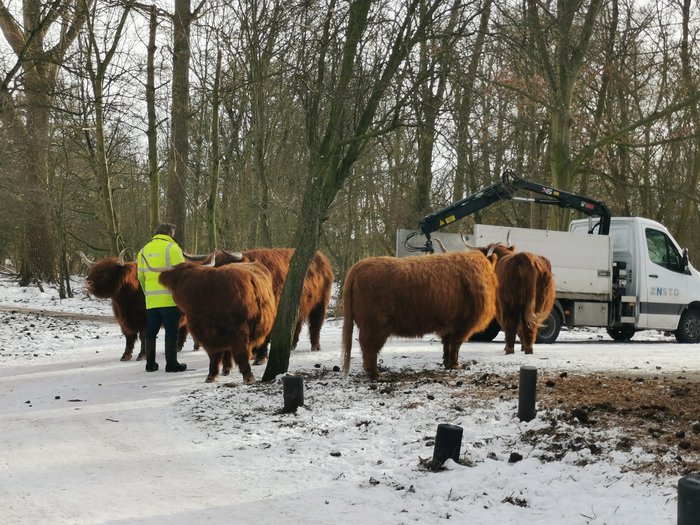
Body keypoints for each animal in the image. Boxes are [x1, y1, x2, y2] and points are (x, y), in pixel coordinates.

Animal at [186, 248, 334, 364]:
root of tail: (322, 256)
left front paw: (260, 357)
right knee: (296, 322)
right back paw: (291, 345)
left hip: (321, 301)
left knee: (316, 324)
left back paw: (315, 346)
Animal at [341, 250, 499, 379]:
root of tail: (358, 267)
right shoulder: (463, 324)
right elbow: (456, 345)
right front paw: (455, 365)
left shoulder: (449, 325)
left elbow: (447, 344)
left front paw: (447, 364)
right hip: (374, 324)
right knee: (369, 346)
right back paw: (375, 373)